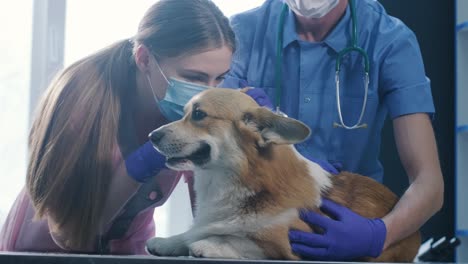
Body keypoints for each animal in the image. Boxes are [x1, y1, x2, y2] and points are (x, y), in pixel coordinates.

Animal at [145, 87, 420, 260]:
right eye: (185, 113)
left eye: (199, 114)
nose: (151, 136)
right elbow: (190, 233)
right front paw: (167, 241)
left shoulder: (292, 245)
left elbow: (241, 241)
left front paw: (210, 244)